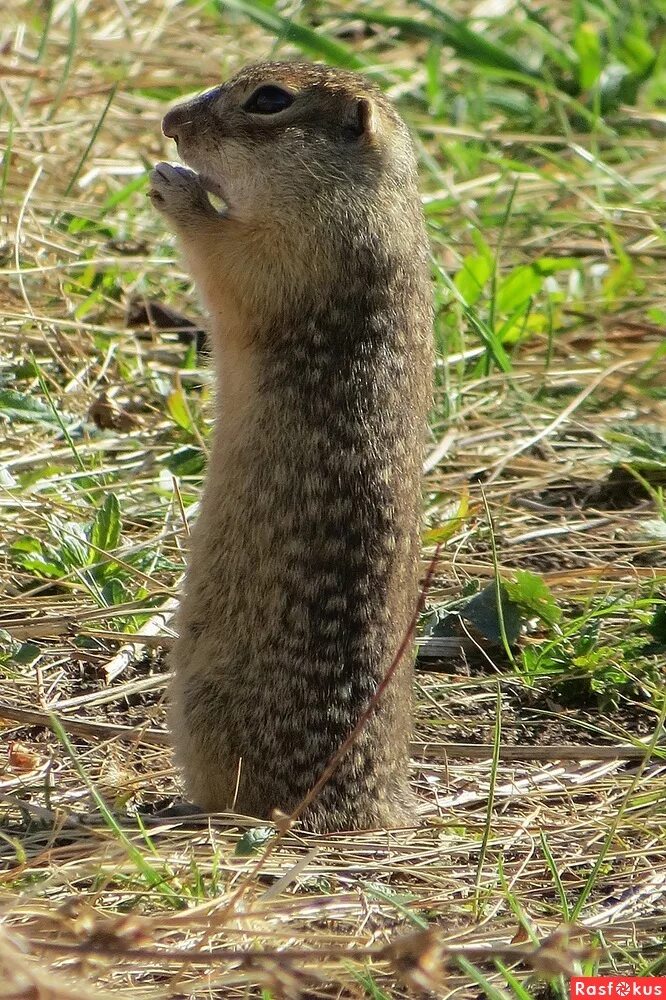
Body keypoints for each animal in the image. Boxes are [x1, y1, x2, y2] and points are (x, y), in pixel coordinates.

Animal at [148, 58, 434, 832]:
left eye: (269, 100)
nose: (170, 122)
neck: (369, 197)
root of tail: (373, 812)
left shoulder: (291, 254)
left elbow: (226, 259)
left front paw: (174, 186)